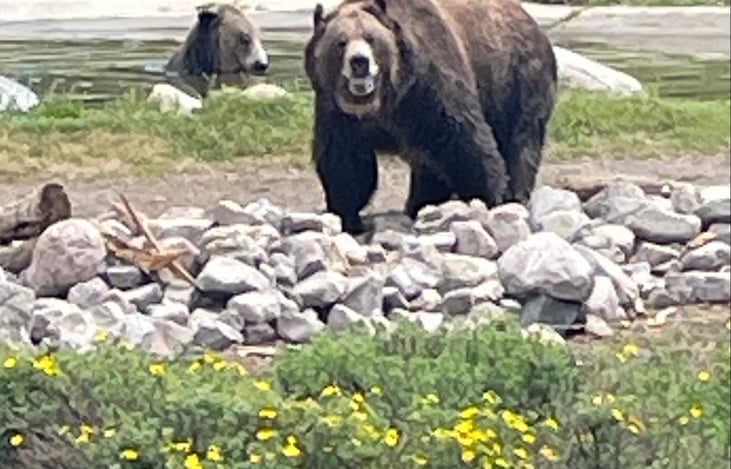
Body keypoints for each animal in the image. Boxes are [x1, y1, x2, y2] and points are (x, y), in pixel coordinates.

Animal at [303, 0, 558, 235]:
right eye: (341, 42)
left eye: (371, 38)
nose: (359, 62)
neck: (382, 103)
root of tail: (531, 21)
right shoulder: (338, 113)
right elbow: (346, 162)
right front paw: (347, 215)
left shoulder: (428, 83)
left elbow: (464, 140)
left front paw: (488, 198)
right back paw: (420, 204)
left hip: (516, 80)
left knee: (520, 141)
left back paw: (515, 195)